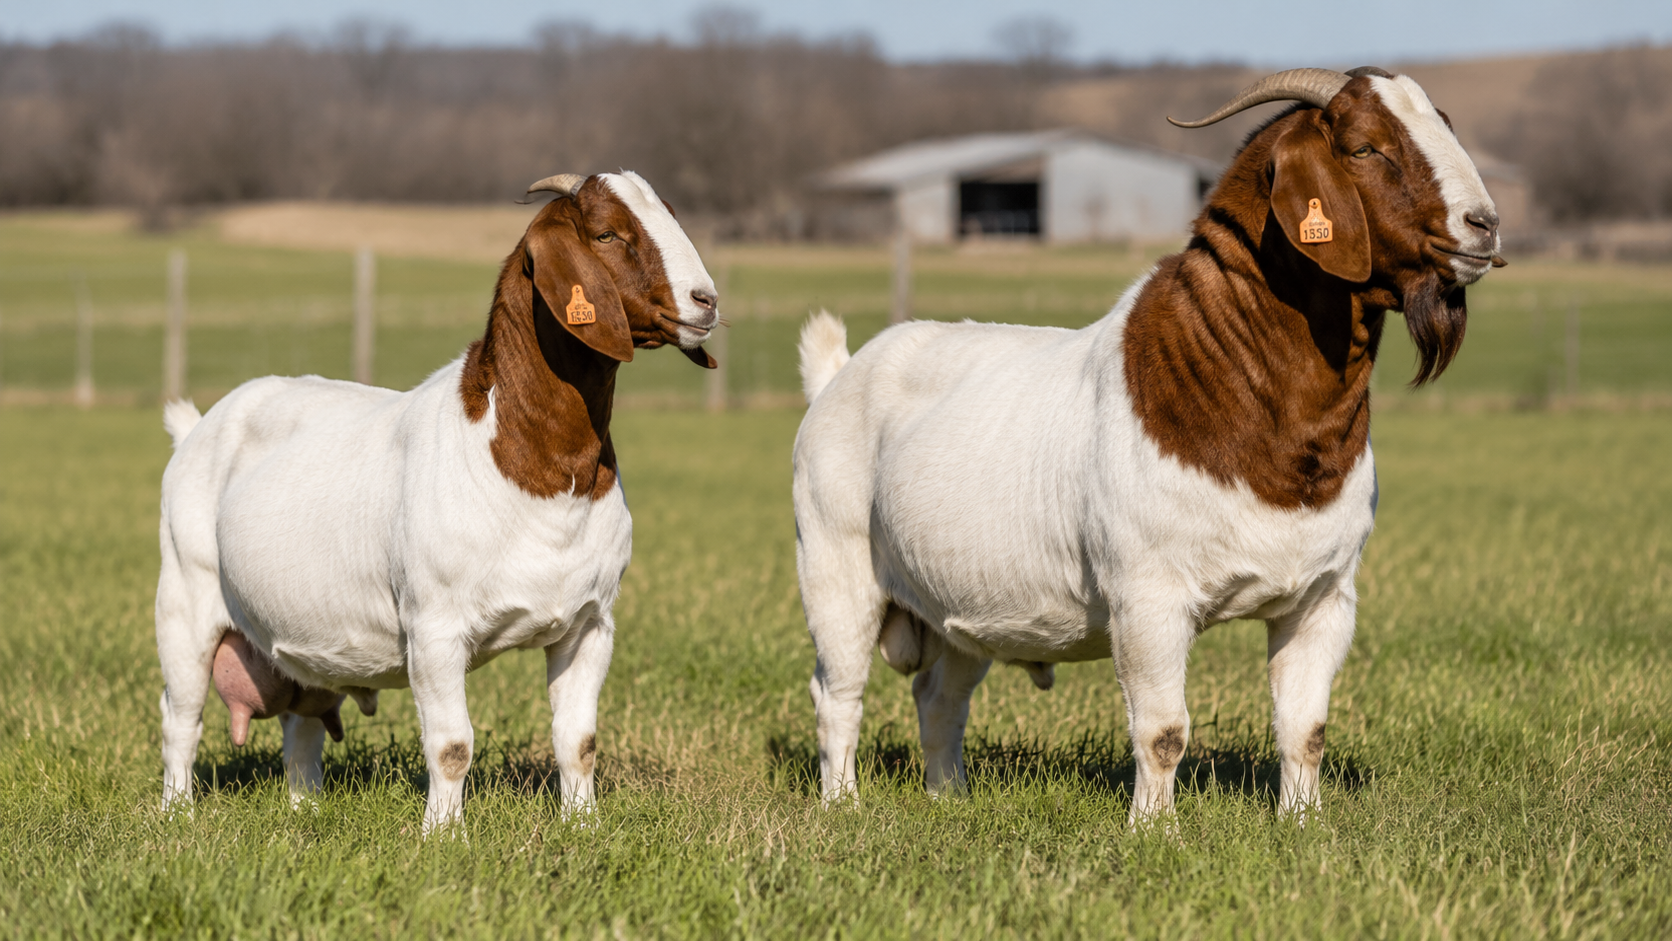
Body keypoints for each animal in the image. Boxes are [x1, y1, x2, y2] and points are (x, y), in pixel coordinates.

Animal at [156, 171, 719, 832]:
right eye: (606, 232)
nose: (706, 300)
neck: (542, 468)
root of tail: (195, 427)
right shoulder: (434, 626)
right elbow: (451, 745)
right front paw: (444, 835)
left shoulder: (589, 621)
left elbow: (578, 742)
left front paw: (583, 826)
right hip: (184, 594)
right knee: (181, 717)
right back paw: (175, 814)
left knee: (302, 723)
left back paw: (305, 808)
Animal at [792, 68, 1502, 822]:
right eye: (1365, 146)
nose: (1485, 225)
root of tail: (837, 375)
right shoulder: (1149, 595)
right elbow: (1162, 730)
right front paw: (1155, 830)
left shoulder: (1325, 595)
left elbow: (1305, 728)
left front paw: (1303, 823)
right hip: (834, 560)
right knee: (837, 692)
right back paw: (842, 805)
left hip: (962, 598)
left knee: (939, 694)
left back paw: (949, 796)